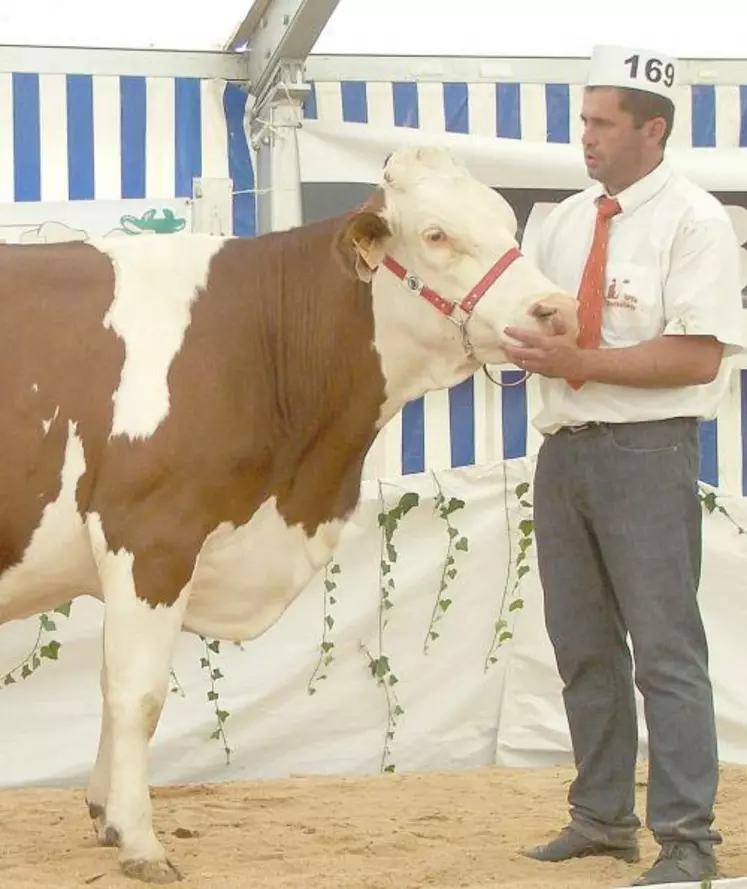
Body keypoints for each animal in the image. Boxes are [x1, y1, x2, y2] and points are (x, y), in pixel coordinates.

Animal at [0, 146, 580, 880]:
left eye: (508, 224)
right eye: (436, 234)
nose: (556, 310)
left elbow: (113, 683)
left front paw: (105, 813)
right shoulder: (151, 537)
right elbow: (138, 692)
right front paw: (139, 840)